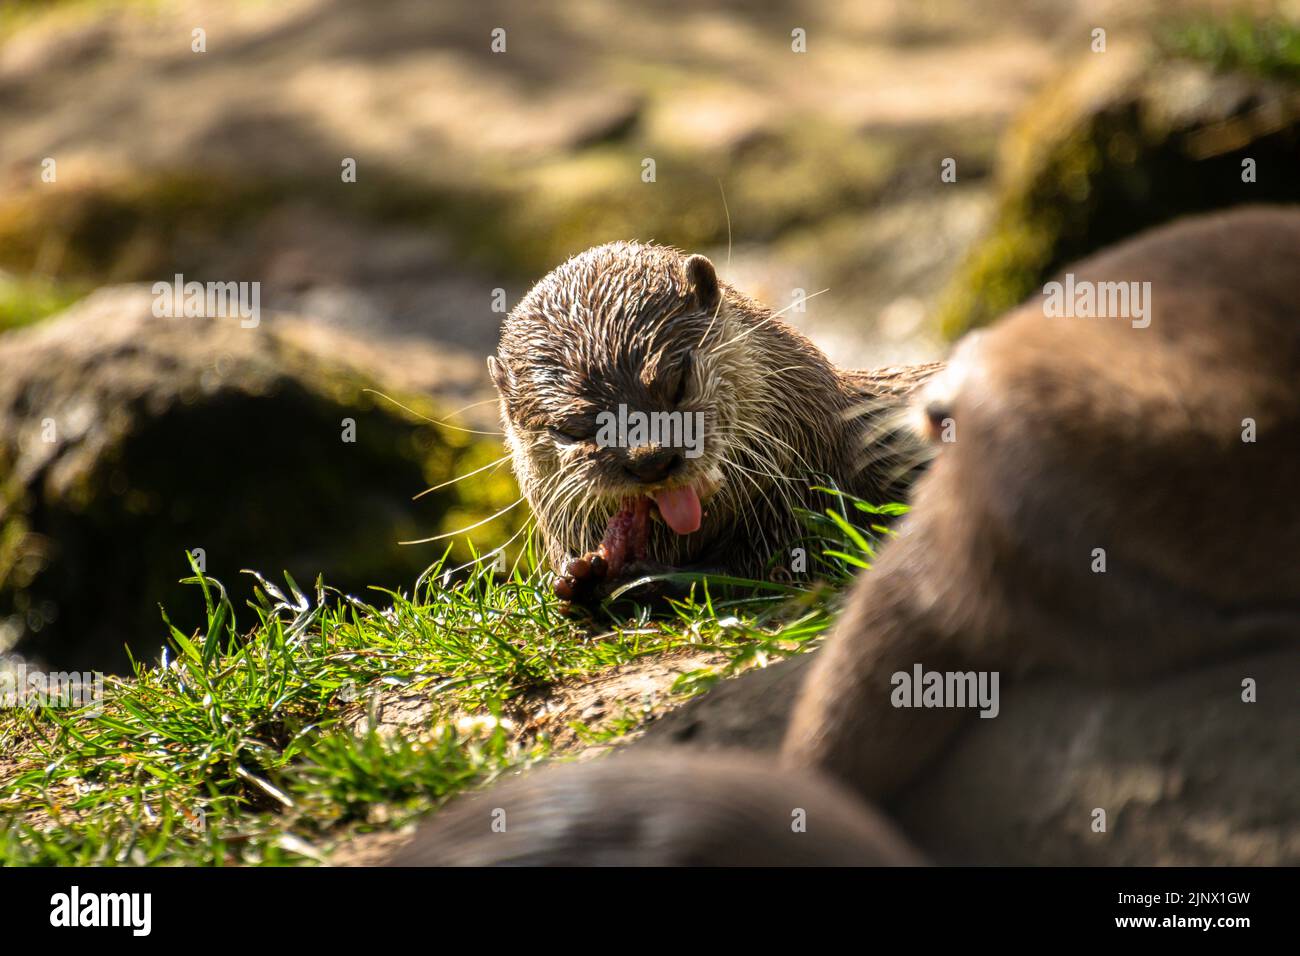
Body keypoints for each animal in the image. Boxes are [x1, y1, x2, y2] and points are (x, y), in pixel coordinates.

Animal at [487, 242, 939, 600]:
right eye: (571, 429)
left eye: (677, 382)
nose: (651, 460)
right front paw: (577, 575)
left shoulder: (809, 505)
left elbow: (767, 568)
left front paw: (640, 581)